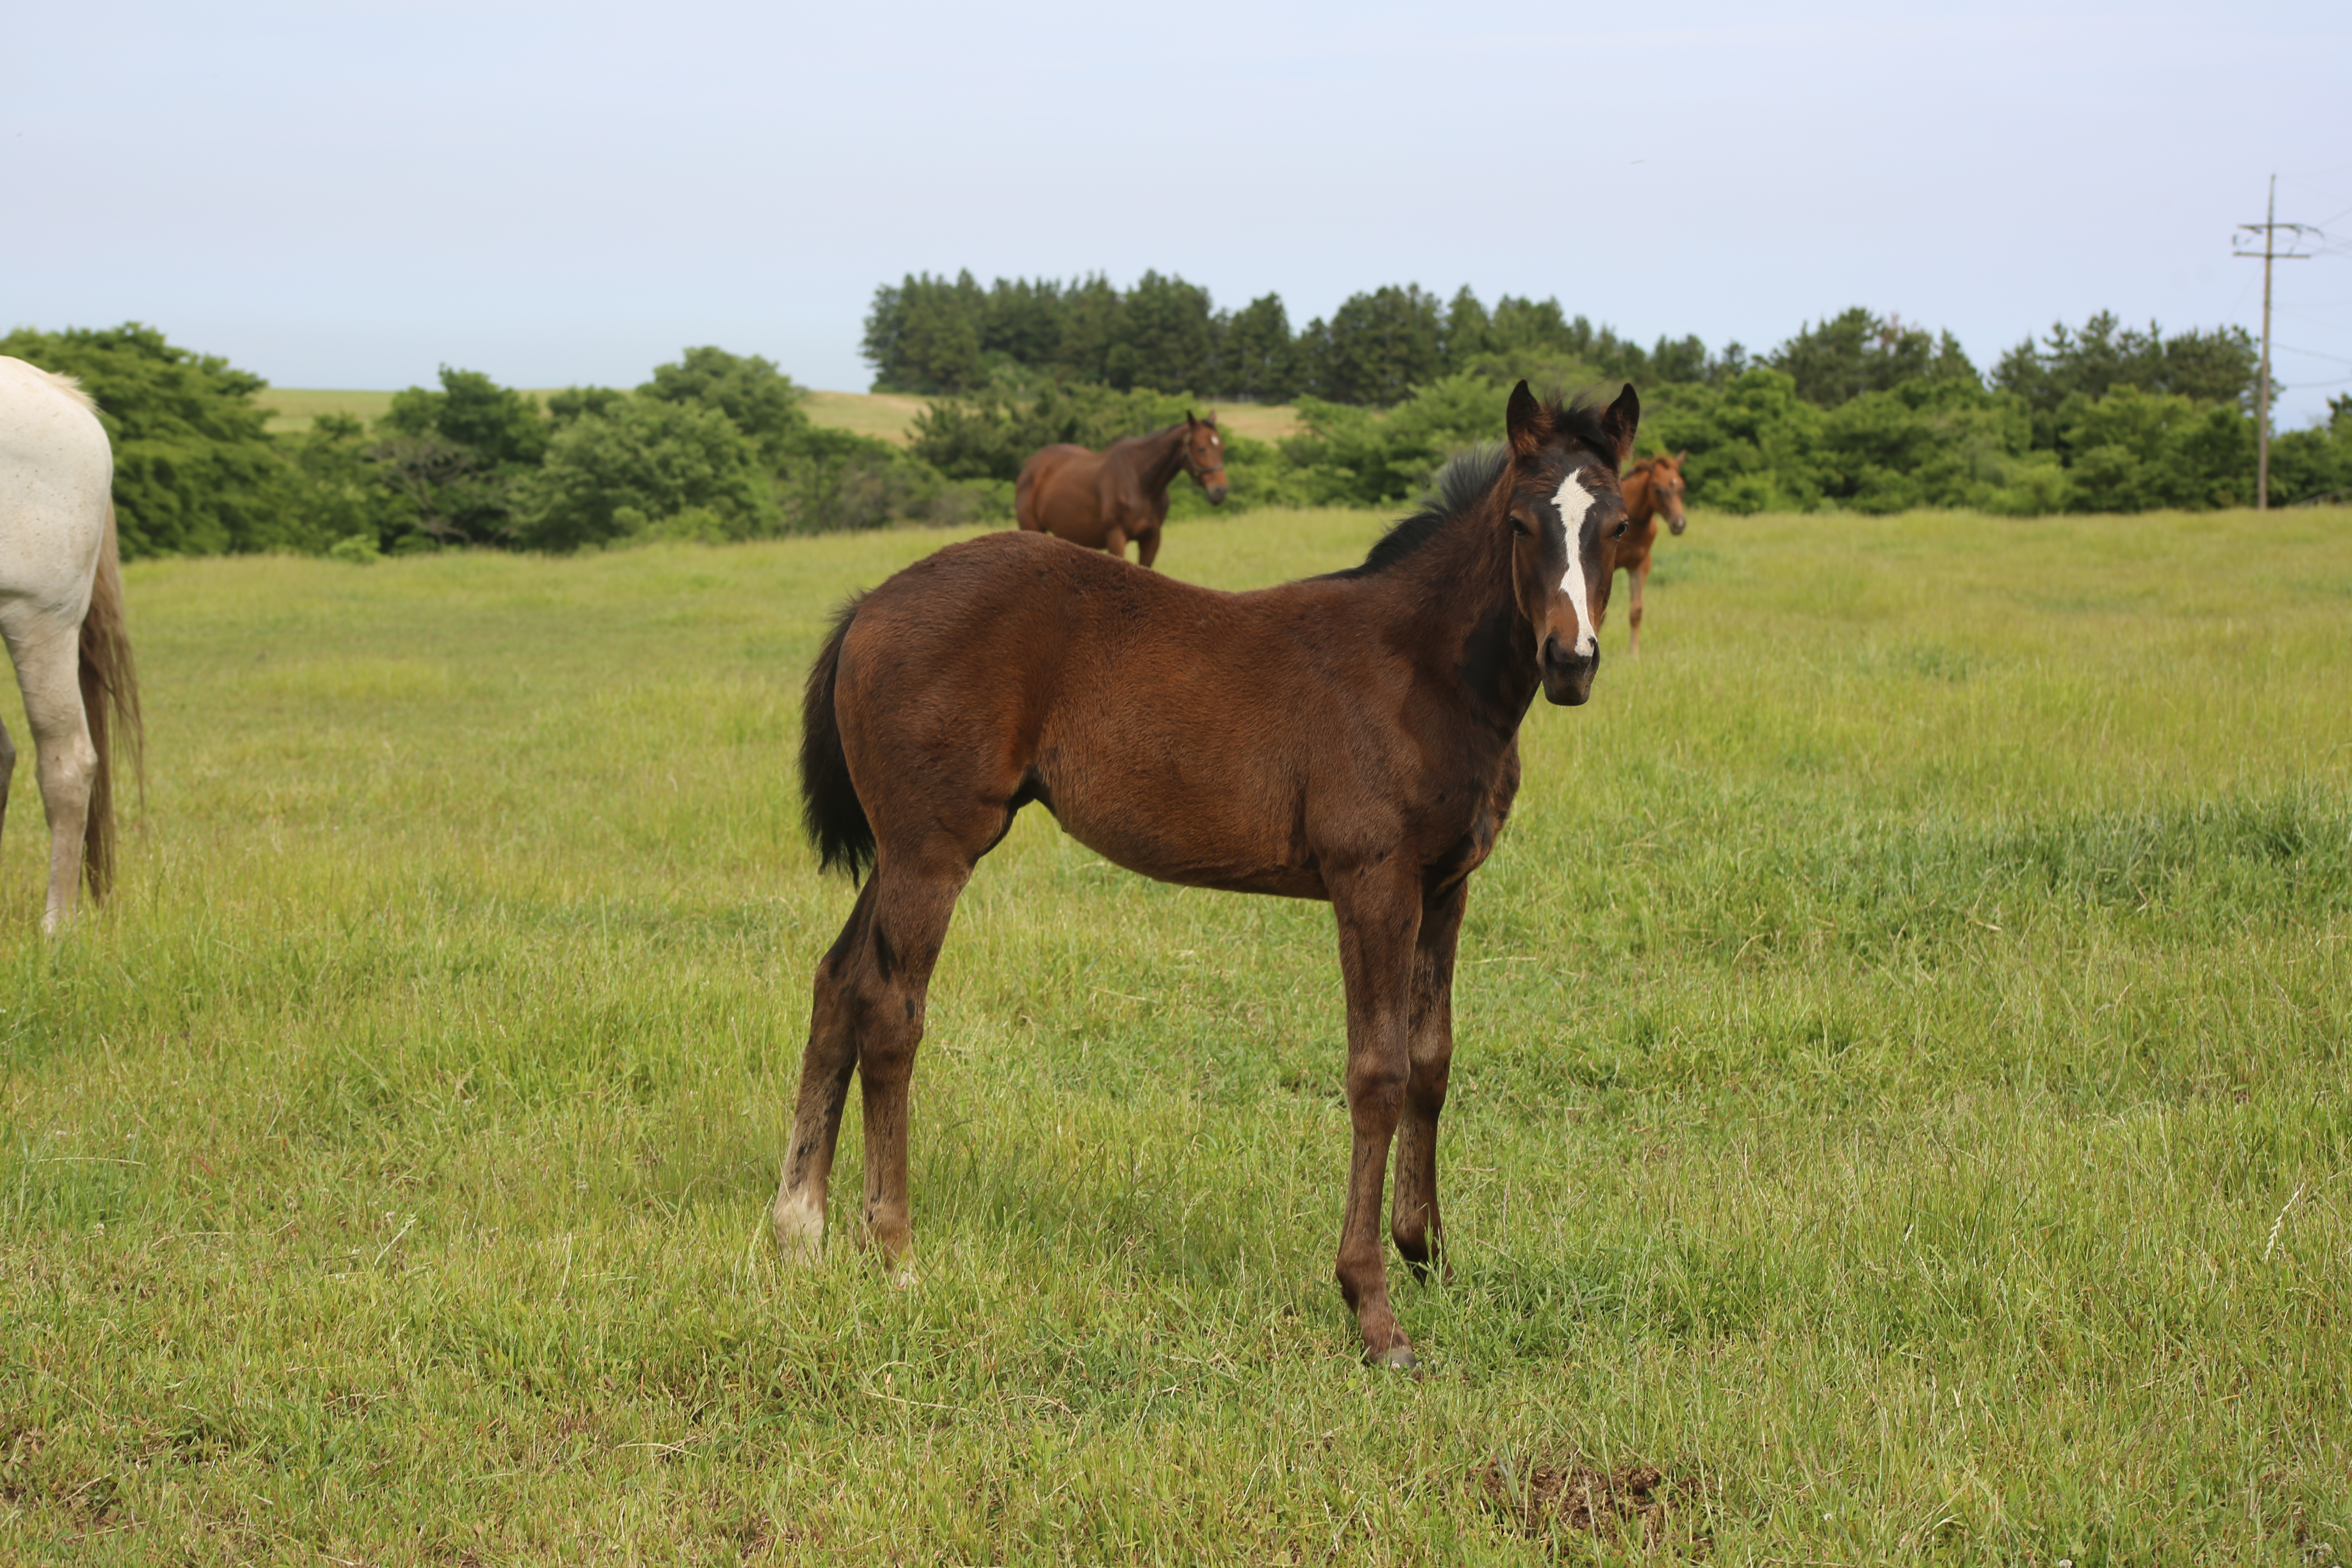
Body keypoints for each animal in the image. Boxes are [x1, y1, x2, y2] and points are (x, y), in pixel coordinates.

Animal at [1011, 411, 1232, 571]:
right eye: (1201, 448)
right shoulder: (1116, 537)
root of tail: (1031, 465)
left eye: (1221, 447)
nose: (1220, 491)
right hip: (1032, 527)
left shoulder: (1152, 539)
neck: (1141, 483)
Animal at [1618, 446, 1693, 658]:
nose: (1679, 524)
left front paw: (1634, 654)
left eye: (1682, 487)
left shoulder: (1641, 565)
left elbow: (1636, 611)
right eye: (1658, 489)